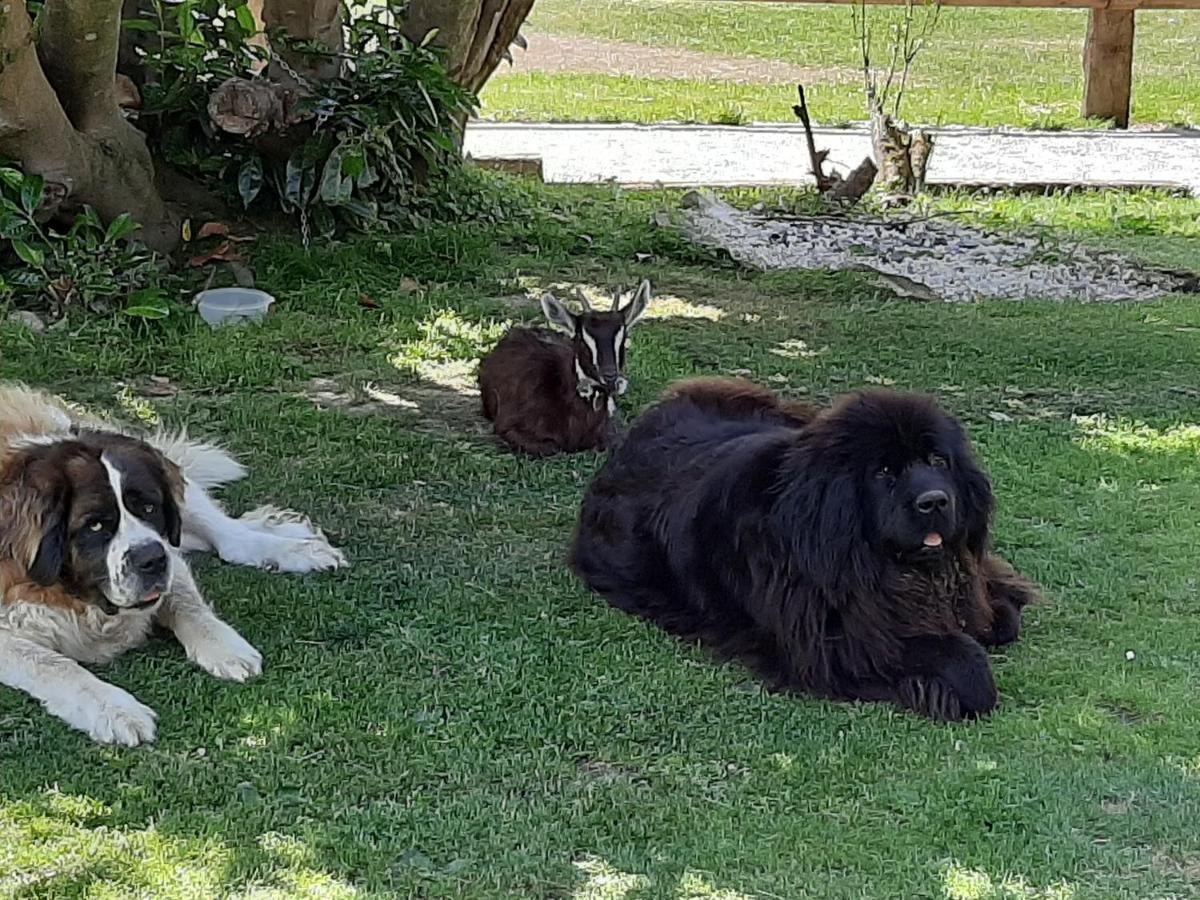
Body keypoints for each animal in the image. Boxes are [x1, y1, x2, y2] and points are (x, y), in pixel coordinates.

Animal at [0, 386, 348, 748]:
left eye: (149, 508)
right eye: (95, 526)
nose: (150, 559)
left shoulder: (168, 551)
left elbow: (187, 603)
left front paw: (226, 648)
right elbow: (53, 664)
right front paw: (116, 709)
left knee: (230, 536)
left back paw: (296, 547)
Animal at [571, 376, 1041, 724]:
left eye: (938, 461)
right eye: (884, 472)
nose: (934, 501)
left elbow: (998, 617)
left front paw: (996, 604)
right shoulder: (836, 646)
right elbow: (966, 663)